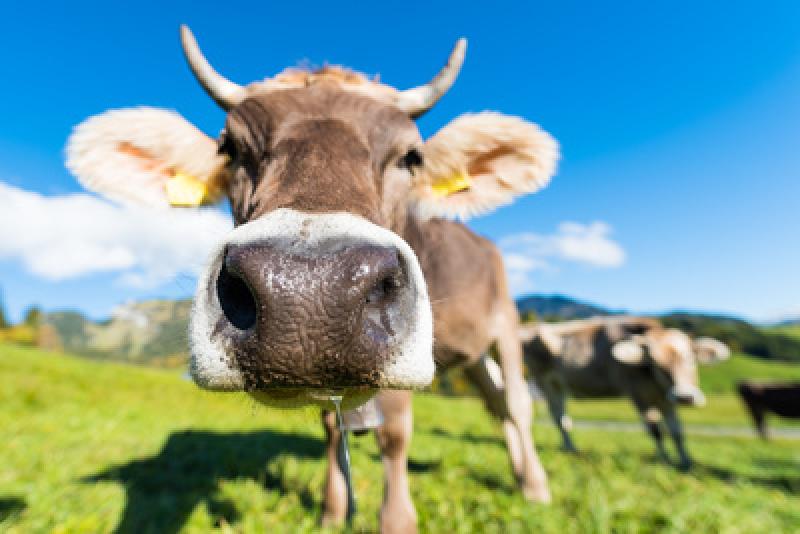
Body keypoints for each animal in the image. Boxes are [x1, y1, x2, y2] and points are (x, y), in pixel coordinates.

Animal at [65, 27, 560, 532]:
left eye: (411, 156)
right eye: (231, 149)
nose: (310, 289)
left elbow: (395, 432)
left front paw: (396, 519)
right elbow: (330, 427)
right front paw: (332, 511)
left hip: (507, 325)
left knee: (517, 403)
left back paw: (536, 487)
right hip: (472, 352)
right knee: (497, 404)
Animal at [520, 316, 728, 472]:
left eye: (690, 358)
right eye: (654, 362)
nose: (684, 397)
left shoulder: (666, 399)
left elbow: (677, 431)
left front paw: (686, 462)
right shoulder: (637, 395)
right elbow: (656, 430)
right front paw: (664, 459)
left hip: (559, 384)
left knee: (562, 416)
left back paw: (569, 447)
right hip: (545, 381)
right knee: (558, 416)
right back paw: (571, 448)